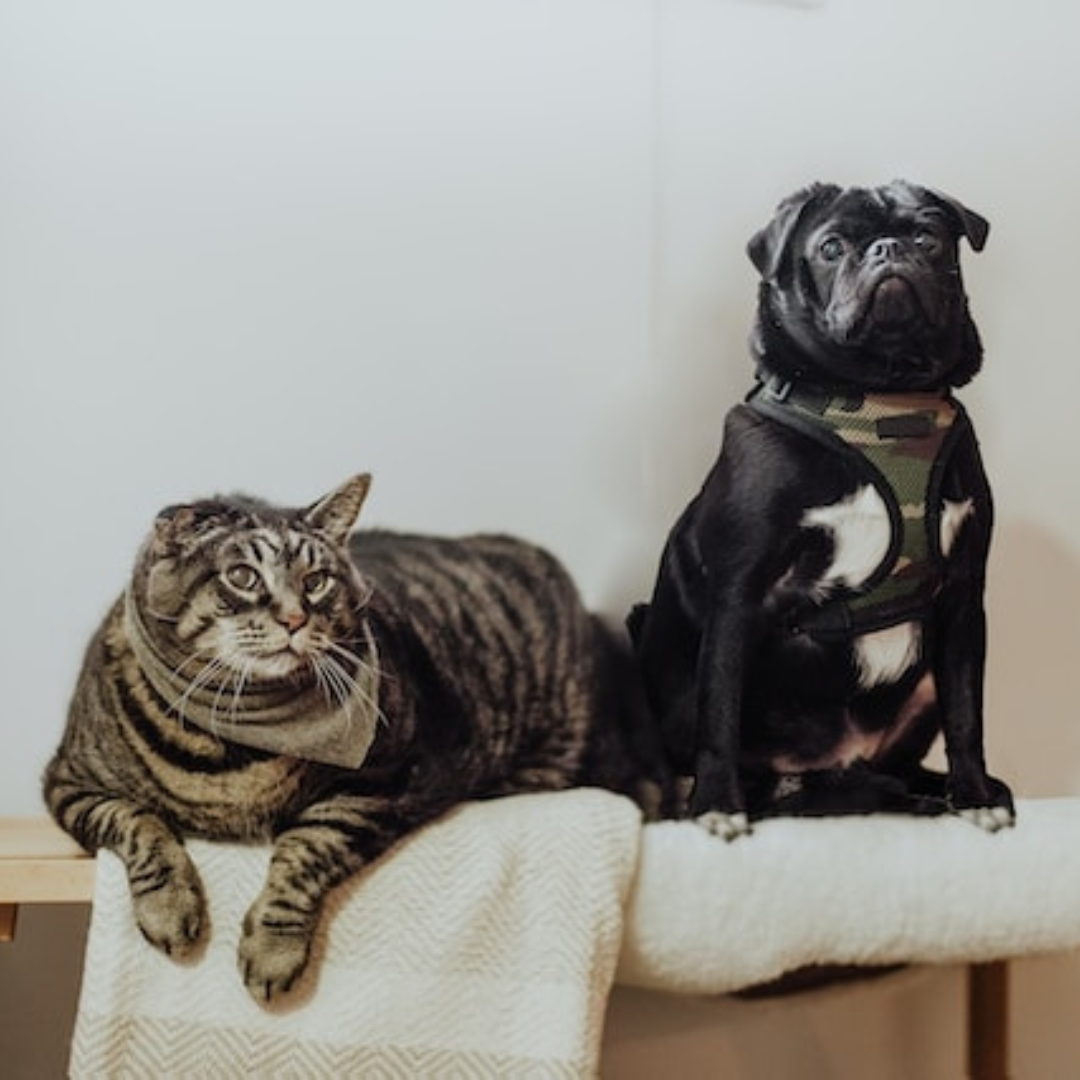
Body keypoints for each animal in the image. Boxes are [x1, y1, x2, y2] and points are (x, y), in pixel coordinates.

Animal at [44, 473, 639, 1002]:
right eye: (243, 576)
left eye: (317, 581)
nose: (294, 619)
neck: (234, 743)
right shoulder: (70, 781)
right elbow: (138, 824)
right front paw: (169, 909)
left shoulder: (385, 782)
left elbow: (308, 848)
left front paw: (272, 951)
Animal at [630, 177, 1015, 838]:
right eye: (832, 247)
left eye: (929, 238)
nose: (888, 249)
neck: (881, 395)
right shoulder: (739, 596)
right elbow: (720, 711)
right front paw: (717, 804)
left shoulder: (965, 598)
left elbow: (968, 711)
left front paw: (974, 794)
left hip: (920, 691)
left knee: (893, 768)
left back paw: (938, 793)